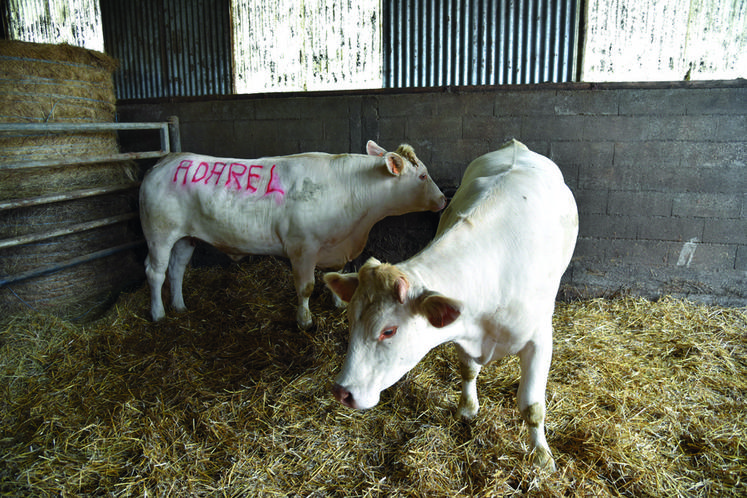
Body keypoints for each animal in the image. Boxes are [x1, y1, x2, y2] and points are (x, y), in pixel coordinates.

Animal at [139, 140, 444, 328]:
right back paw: (158, 313)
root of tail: (166, 161)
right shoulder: (302, 248)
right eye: (422, 176)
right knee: (155, 272)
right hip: (159, 234)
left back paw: (179, 306)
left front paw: (337, 302)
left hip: (185, 237)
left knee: (177, 269)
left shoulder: (335, 246)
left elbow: (334, 275)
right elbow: (306, 286)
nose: (442, 199)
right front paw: (305, 320)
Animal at [322, 141, 580, 470]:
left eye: (389, 331)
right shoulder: (461, 330)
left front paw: (542, 457)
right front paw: (467, 409)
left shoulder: (540, 340)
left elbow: (532, 406)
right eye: (351, 320)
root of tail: (516, 146)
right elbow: (467, 371)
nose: (342, 392)